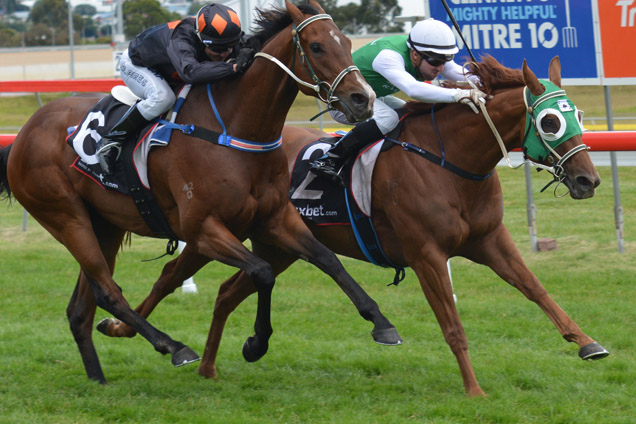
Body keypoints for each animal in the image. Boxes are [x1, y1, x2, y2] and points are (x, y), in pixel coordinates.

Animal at [0, 0, 404, 384]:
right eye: (317, 46)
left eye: (347, 43)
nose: (363, 99)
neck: (234, 130)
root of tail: (22, 135)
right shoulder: (203, 228)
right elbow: (262, 272)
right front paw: (256, 343)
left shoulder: (274, 219)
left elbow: (327, 259)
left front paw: (382, 323)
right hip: (66, 217)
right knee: (106, 290)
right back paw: (173, 346)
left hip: (106, 225)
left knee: (82, 308)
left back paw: (99, 379)